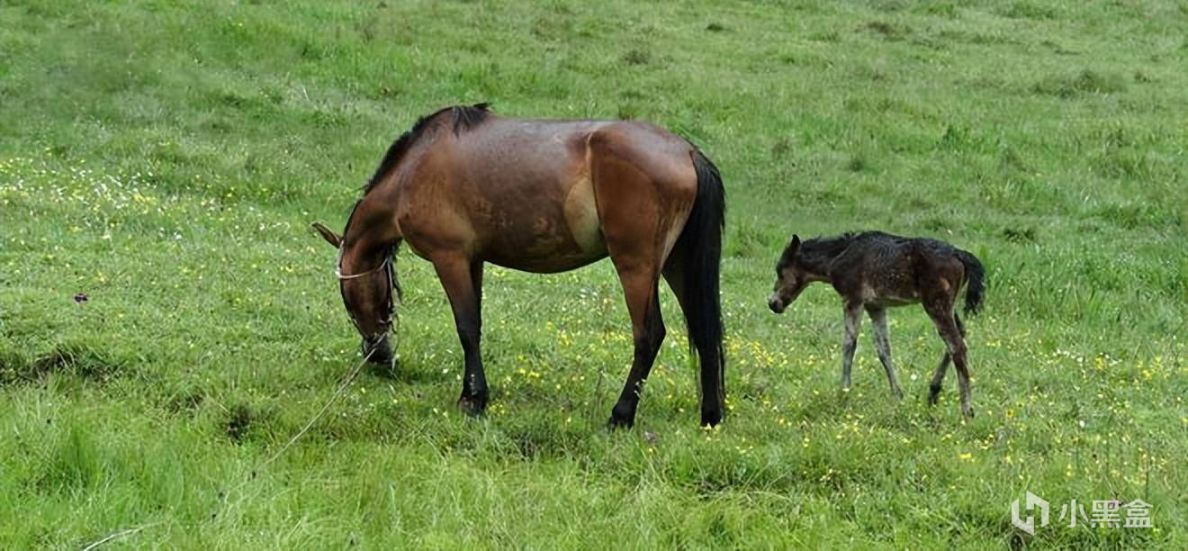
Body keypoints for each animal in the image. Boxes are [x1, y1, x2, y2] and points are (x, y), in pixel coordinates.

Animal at [308, 104, 722, 429]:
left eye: (346, 299)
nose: (378, 356)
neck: (414, 169)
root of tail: (686, 151)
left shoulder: (450, 258)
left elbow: (466, 328)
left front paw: (473, 399)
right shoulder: (473, 260)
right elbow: (475, 324)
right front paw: (475, 393)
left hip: (636, 266)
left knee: (649, 335)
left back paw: (621, 415)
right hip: (676, 265)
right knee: (704, 332)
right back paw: (711, 416)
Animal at [769, 231, 983, 418]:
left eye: (781, 271)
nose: (772, 303)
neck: (840, 255)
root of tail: (959, 254)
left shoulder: (853, 299)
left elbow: (849, 344)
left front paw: (843, 392)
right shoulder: (876, 306)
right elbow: (883, 349)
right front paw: (898, 394)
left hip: (936, 305)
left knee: (957, 346)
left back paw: (967, 410)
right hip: (948, 306)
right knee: (960, 335)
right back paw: (933, 393)